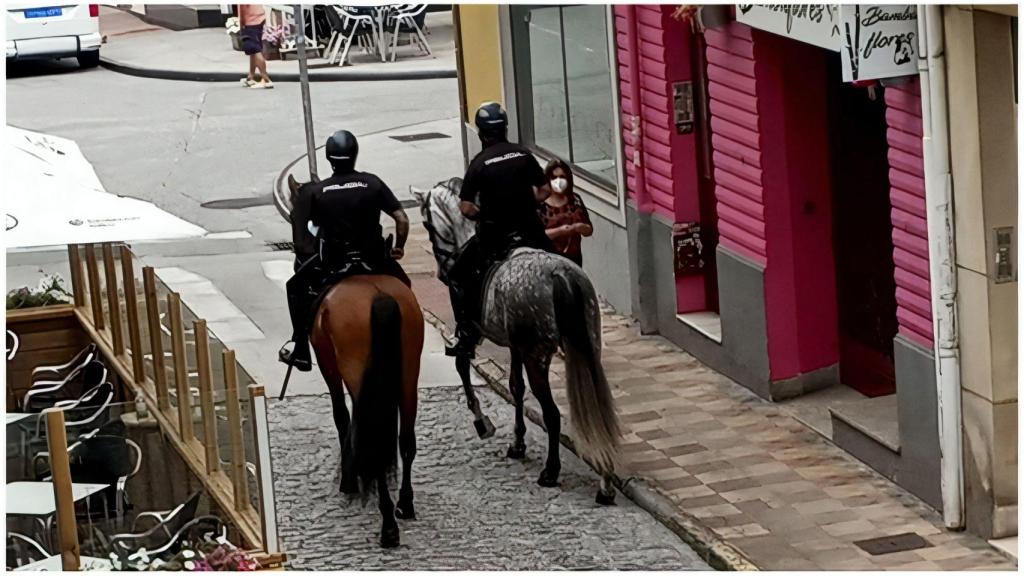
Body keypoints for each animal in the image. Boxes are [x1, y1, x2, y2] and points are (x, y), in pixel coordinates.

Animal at [311, 272, 423, 545]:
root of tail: (379, 294)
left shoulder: (327, 363)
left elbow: (342, 416)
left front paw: (349, 479)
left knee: (374, 444)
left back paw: (389, 525)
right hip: (408, 376)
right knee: (406, 442)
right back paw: (404, 505)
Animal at [411, 176, 618, 502]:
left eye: (425, 223)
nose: (443, 273)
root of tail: (559, 274)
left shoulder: (471, 331)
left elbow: (462, 366)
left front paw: (482, 423)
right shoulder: (515, 346)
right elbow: (515, 387)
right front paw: (518, 443)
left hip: (538, 356)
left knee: (552, 414)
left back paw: (551, 471)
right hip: (587, 346)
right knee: (598, 403)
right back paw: (606, 480)